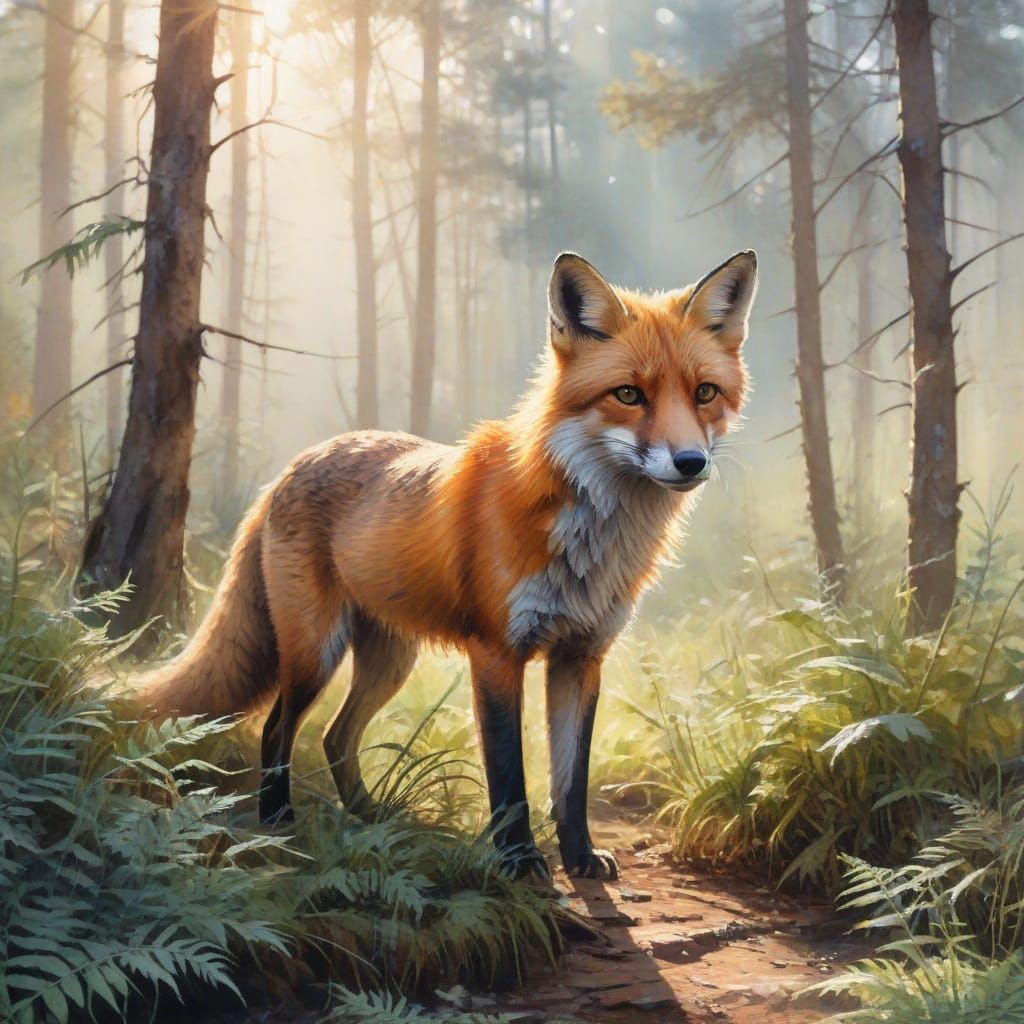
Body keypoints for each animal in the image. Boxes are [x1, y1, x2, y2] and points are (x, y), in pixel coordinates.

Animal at [139, 249, 758, 880]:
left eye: (705, 392)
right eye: (629, 395)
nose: (690, 462)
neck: (589, 542)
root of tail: (292, 466)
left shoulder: (581, 656)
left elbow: (572, 780)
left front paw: (580, 858)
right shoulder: (497, 652)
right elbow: (509, 773)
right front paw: (518, 860)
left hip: (390, 661)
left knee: (337, 737)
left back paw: (376, 816)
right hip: (316, 651)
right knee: (276, 727)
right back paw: (278, 822)